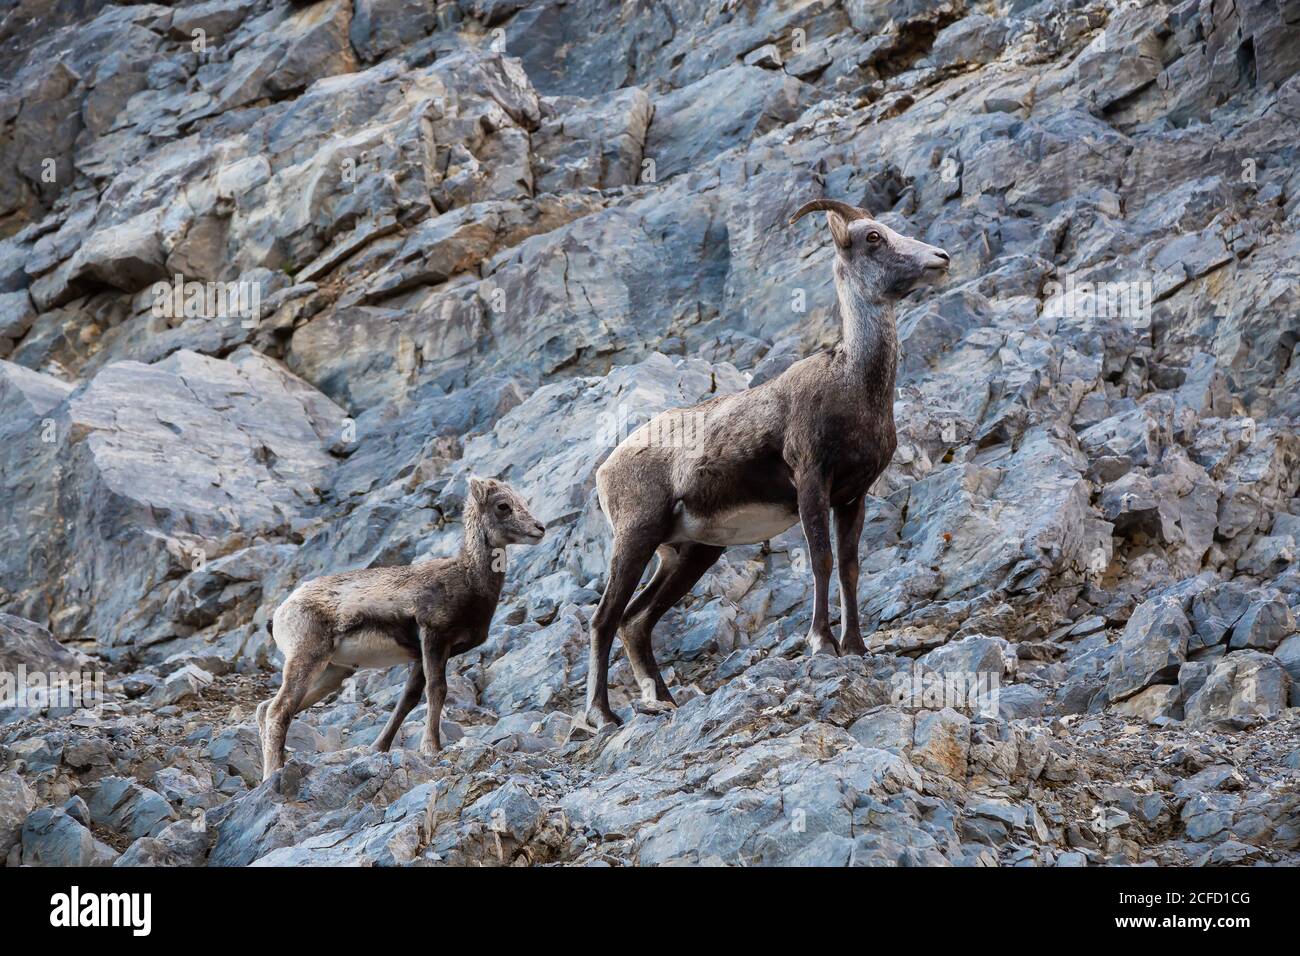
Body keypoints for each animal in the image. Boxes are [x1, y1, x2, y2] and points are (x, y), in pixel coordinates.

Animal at [256, 477, 545, 780]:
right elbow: (437, 690)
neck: (467, 580)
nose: (539, 529)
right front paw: (431, 748)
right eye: (503, 505)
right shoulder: (433, 638)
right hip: (307, 659)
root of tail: (281, 613)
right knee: (278, 710)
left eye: (522, 501)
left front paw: (379, 747)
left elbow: (409, 698)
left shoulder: (422, 656)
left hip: (332, 673)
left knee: (266, 709)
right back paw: (273, 773)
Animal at [583, 198, 950, 727]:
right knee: (605, 618)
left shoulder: (852, 497)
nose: (940, 258)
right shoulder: (812, 482)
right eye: (873, 237)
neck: (854, 383)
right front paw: (822, 644)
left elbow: (850, 567)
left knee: (636, 620)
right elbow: (821, 560)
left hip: (691, 552)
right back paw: (602, 716)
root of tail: (605, 470)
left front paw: (857, 647)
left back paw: (664, 699)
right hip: (636, 537)